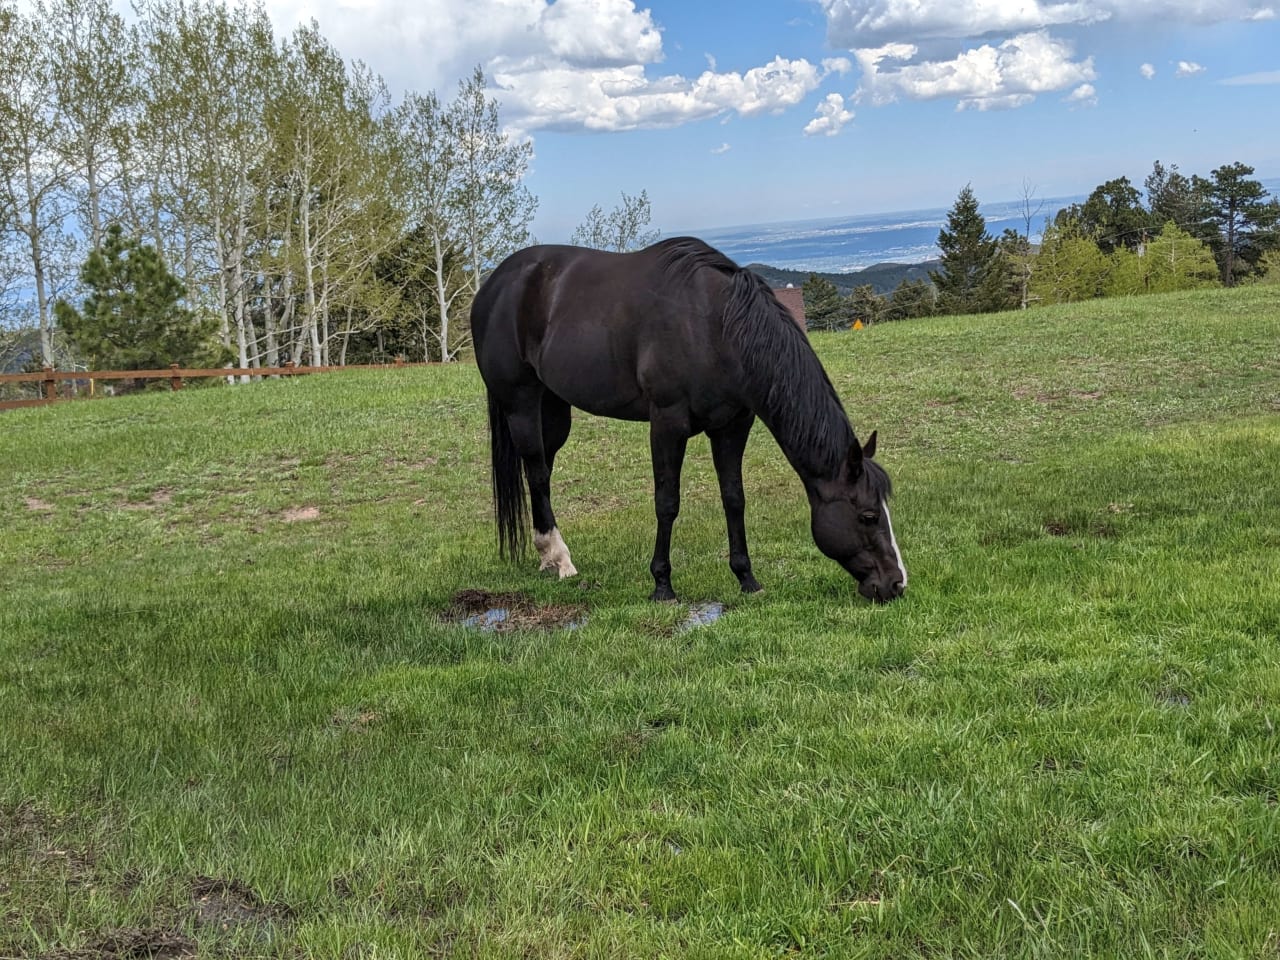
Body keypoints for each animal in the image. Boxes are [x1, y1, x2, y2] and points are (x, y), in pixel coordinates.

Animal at [473, 238, 911, 604]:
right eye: (868, 516)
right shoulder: (668, 424)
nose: (896, 584)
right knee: (537, 472)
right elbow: (667, 502)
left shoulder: (733, 425)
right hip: (521, 402)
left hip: (554, 409)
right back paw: (559, 557)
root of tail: (494, 284)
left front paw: (747, 579)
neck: (716, 325)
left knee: (541, 471)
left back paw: (547, 557)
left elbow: (734, 498)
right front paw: (662, 585)